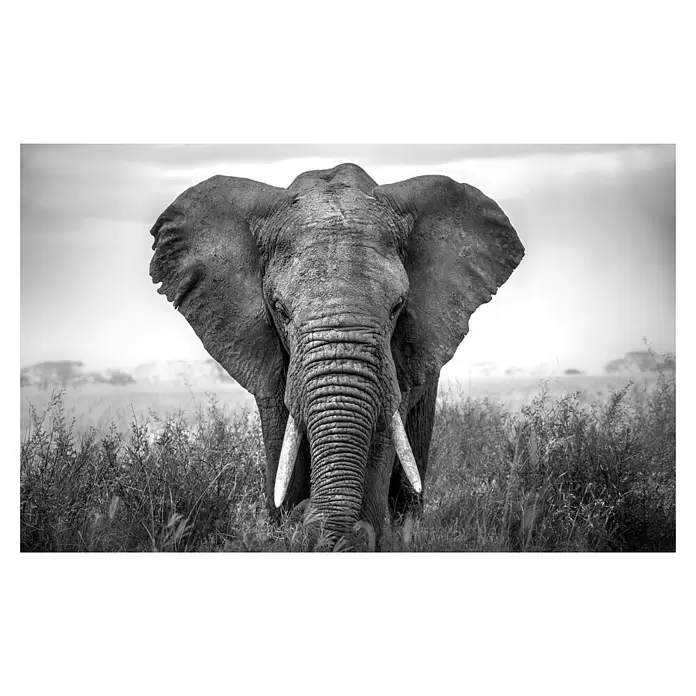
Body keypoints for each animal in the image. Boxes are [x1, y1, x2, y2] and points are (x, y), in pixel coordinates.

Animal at [149, 162, 524, 549]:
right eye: (281, 310)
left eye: (397, 307)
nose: (307, 517)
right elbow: (282, 433)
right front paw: (284, 531)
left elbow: (382, 431)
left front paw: (365, 538)